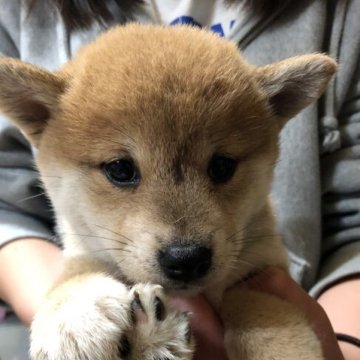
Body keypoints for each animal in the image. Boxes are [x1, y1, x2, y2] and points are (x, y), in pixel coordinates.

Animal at [0, 23, 338, 358]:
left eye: (222, 166)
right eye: (120, 169)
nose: (186, 258)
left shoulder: (263, 266)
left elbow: (250, 302)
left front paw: (277, 346)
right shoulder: (85, 246)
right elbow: (75, 271)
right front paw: (75, 313)